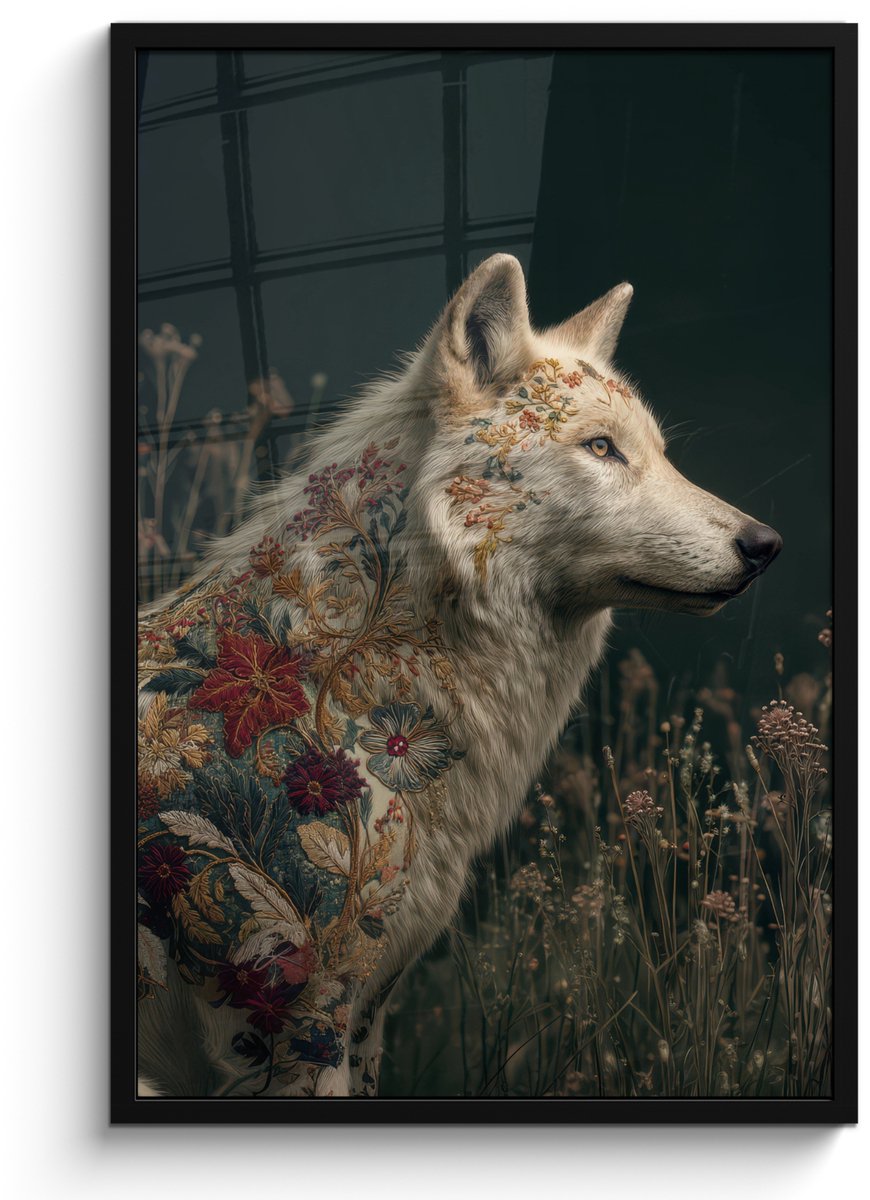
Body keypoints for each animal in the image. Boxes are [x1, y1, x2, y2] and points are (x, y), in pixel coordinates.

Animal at [136, 254, 781, 1098]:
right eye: (601, 448)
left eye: (659, 452)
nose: (765, 544)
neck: (331, 680)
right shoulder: (299, 1027)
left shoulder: (365, 1017)